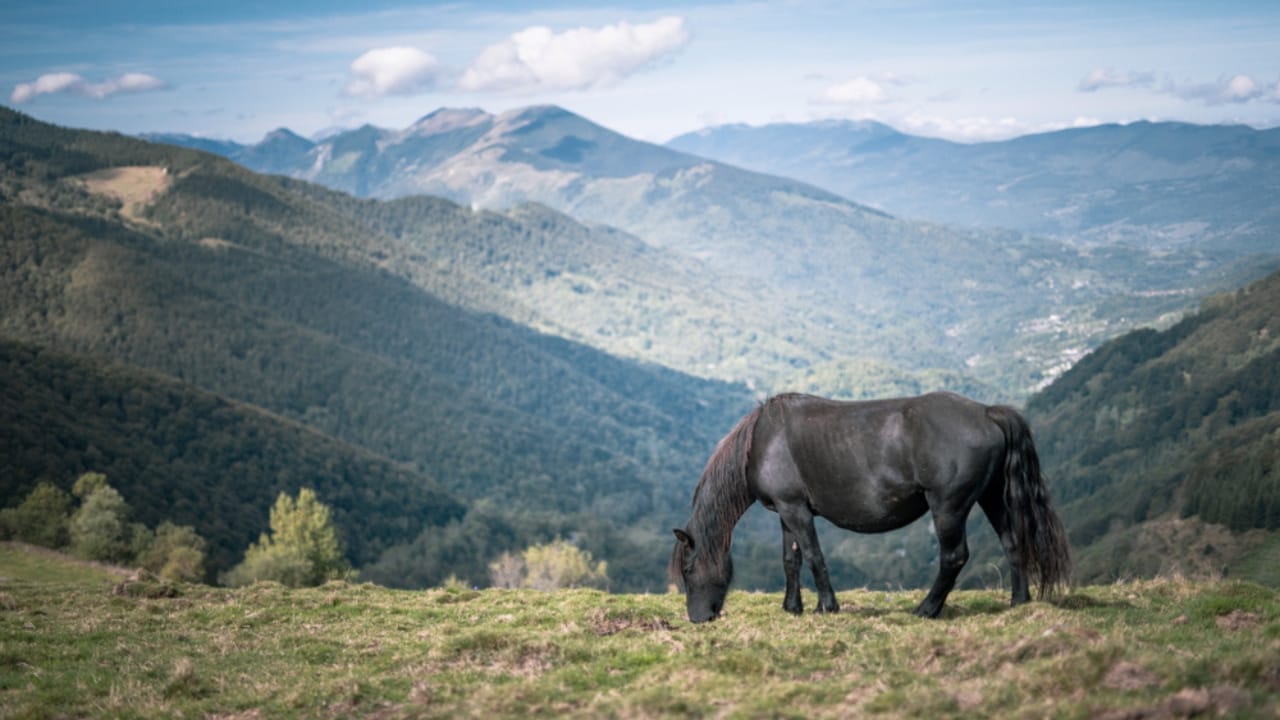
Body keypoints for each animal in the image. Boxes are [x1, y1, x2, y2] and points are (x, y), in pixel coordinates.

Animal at [669, 392, 1071, 622]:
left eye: (688, 570)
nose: (698, 619)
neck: (761, 441)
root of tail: (987, 412)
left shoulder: (796, 511)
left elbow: (813, 556)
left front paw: (826, 607)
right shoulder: (786, 512)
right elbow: (791, 560)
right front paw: (792, 608)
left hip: (949, 507)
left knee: (954, 556)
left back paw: (926, 610)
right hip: (992, 498)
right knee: (1012, 542)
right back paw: (1018, 601)